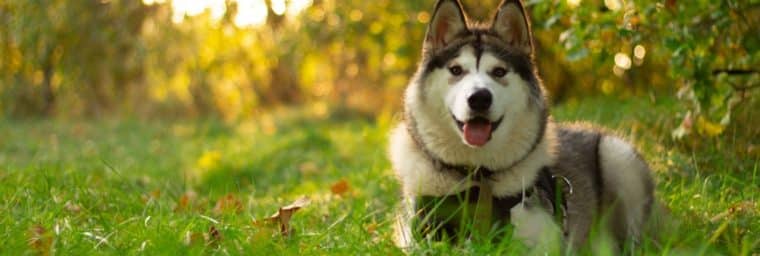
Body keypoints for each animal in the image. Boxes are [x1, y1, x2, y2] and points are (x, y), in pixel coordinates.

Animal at [388, 0, 656, 252]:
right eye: (456, 70)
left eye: (499, 71)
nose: (479, 98)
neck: (480, 176)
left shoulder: (547, 241)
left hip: (618, 157)